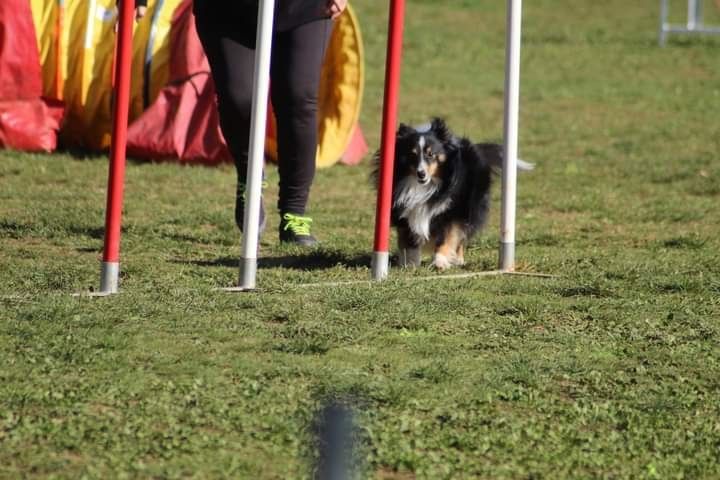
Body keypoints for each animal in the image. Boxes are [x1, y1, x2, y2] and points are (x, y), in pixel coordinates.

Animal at [372, 117, 528, 270]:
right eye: (412, 154)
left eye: (431, 154)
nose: (421, 174)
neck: (427, 187)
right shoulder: (404, 211)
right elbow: (408, 241)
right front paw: (410, 265)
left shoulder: (452, 212)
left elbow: (446, 238)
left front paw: (440, 262)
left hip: (470, 207)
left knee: (462, 237)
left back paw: (458, 260)